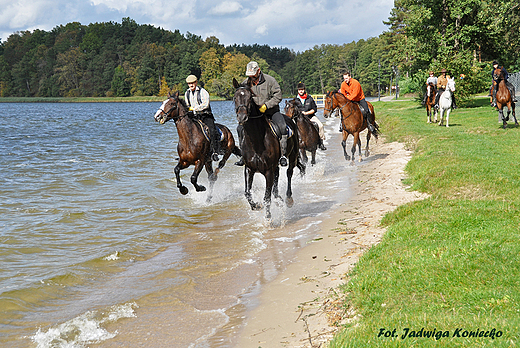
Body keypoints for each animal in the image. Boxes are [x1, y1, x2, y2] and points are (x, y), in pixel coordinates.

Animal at [233, 79, 304, 218]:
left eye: (250, 98)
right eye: (235, 98)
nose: (242, 117)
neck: (256, 140)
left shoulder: (268, 171)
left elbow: (266, 197)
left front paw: (268, 218)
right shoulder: (249, 169)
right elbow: (247, 193)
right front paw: (256, 206)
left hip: (292, 157)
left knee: (289, 173)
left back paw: (288, 198)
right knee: (277, 179)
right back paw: (278, 197)